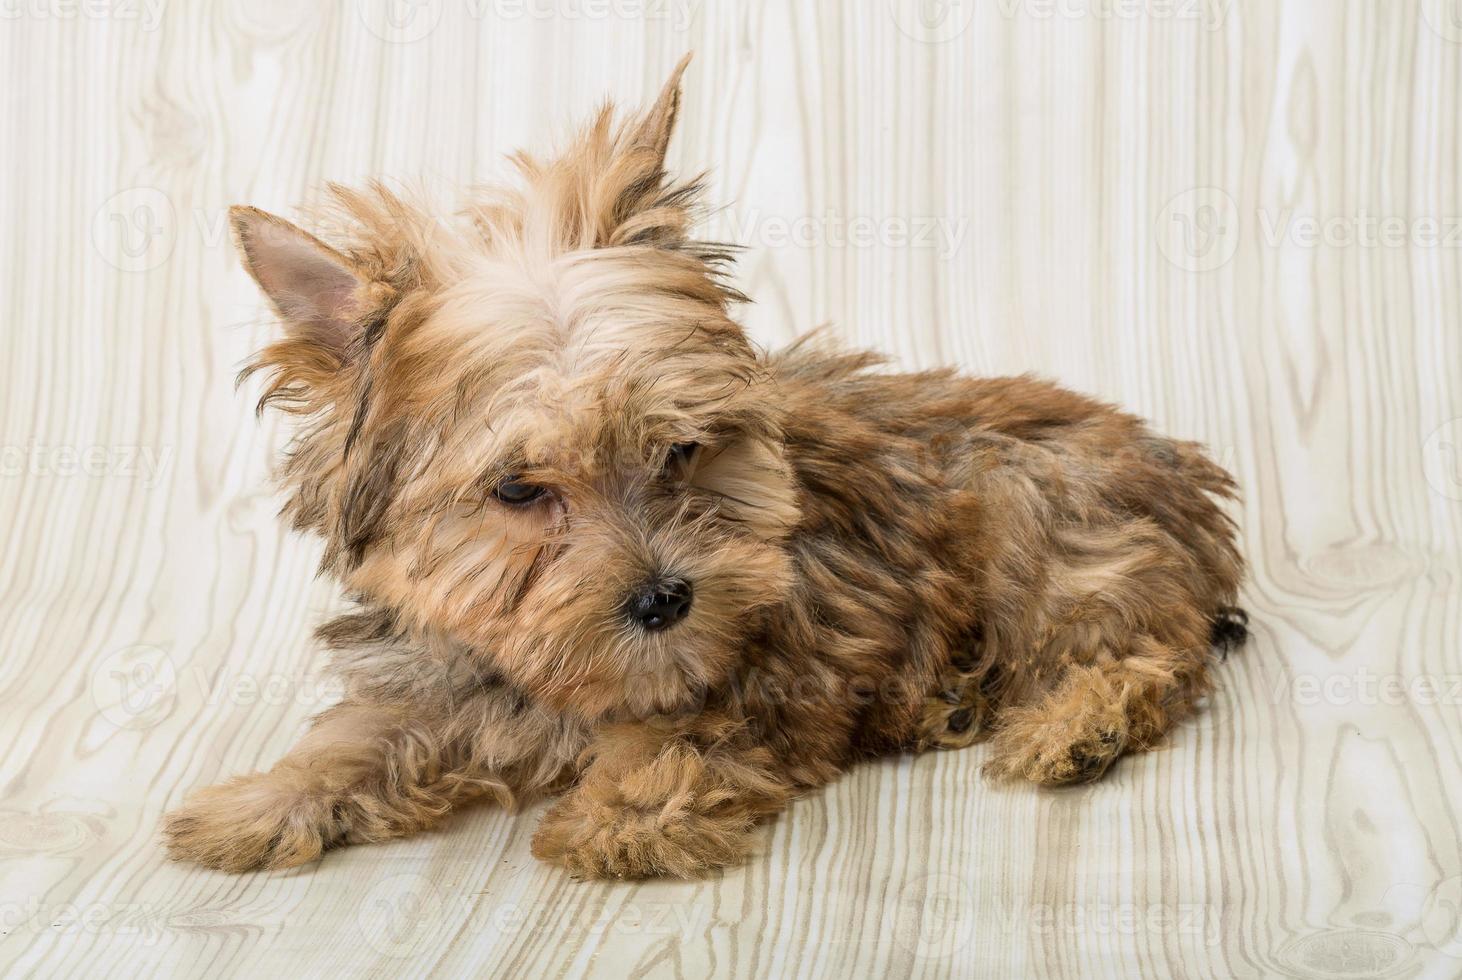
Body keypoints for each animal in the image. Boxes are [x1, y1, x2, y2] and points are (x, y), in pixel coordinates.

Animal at [168, 55, 1245, 883]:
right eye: (519, 490)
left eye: (682, 450)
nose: (663, 598)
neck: (550, 676)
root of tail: (1183, 473)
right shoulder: (433, 668)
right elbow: (363, 731)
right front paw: (262, 799)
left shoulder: (782, 666)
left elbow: (689, 734)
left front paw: (627, 811)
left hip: (1042, 511)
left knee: (1144, 650)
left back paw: (1074, 723)